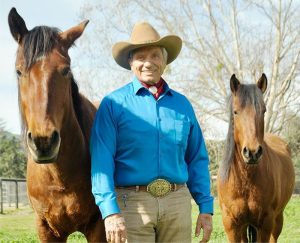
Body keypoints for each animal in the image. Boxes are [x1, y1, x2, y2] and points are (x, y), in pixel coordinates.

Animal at [7, 8, 106, 243]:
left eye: (66, 70)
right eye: (19, 71)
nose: (44, 142)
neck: (59, 177)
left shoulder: (98, 226)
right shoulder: (46, 229)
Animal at [217, 74, 294, 243]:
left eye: (263, 111)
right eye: (235, 112)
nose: (252, 152)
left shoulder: (265, 223)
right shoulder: (231, 225)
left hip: (277, 220)